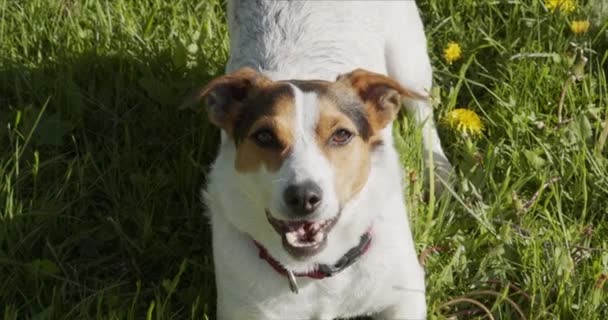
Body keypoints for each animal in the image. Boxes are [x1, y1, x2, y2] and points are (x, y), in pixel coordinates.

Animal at [185, 1, 452, 318]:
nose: (303, 197)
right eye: (264, 136)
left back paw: (440, 172)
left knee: (423, 113)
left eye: (341, 135)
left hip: (408, 61)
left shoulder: (405, 292)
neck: (317, 273)